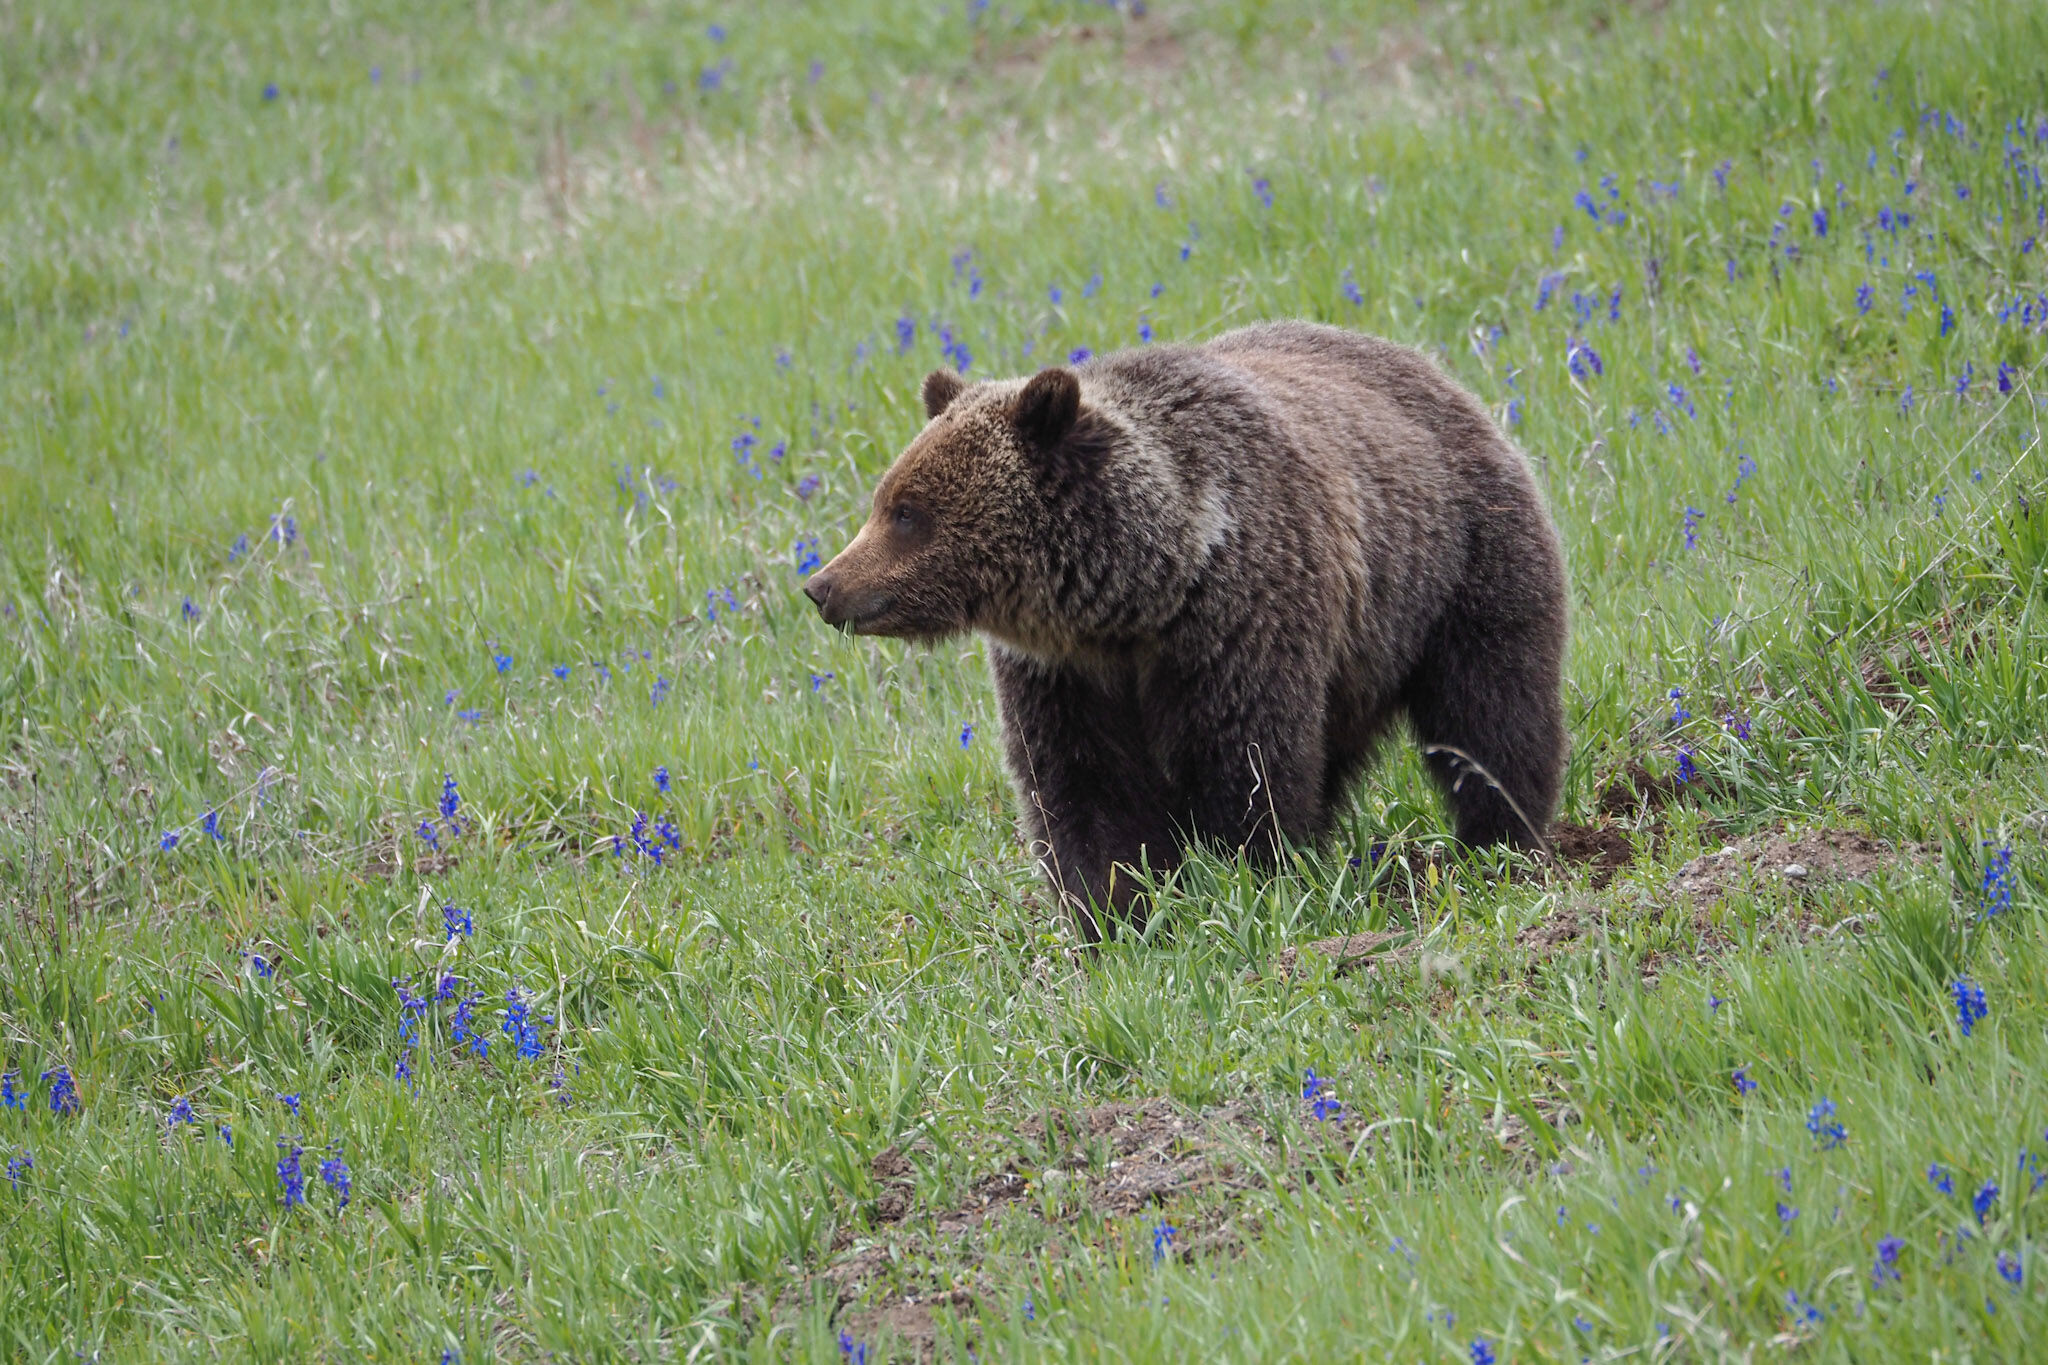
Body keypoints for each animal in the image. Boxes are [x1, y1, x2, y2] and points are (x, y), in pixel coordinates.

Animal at [804, 320, 1567, 941]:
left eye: (907, 511)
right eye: (884, 499)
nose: (823, 585)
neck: (1142, 595)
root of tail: (1434, 371)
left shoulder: (1239, 621)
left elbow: (1245, 765)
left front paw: (1248, 881)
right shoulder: (1064, 673)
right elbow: (1084, 792)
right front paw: (1117, 916)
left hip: (1460, 568)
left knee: (1491, 710)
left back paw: (1499, 841)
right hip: (1362, 647)